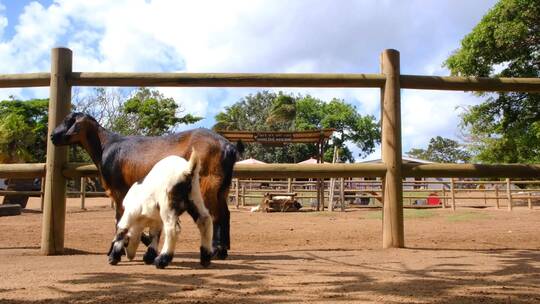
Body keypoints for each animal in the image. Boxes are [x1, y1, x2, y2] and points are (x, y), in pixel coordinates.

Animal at [51, 112, 243, 258]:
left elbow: (119, 219)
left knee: (214, 216)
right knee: (225, 214)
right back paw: (223, 250)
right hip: (222, 186)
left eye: (69, 120)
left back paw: (216, 250)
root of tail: (228, 146)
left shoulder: (119, 190)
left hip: (207, 185)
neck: (105, 145)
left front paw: (115, 250)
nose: (52, 136)